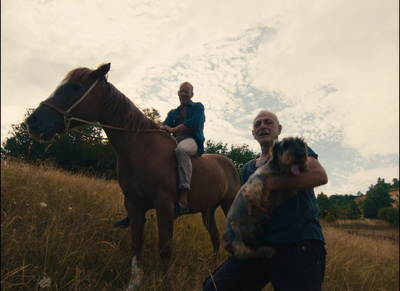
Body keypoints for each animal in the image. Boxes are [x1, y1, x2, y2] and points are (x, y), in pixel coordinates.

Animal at [28, 63, 242, 290]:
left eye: (75, 87)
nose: (33, 121)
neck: (142, 149)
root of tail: (230, 164)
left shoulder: (164, 205)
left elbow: (165, 248)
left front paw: (167, 284)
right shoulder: (134, 204)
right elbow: (136, 245)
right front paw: (134, 282)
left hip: (228, 204)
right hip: (208, 209)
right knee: (215, 237)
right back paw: (211, 268)